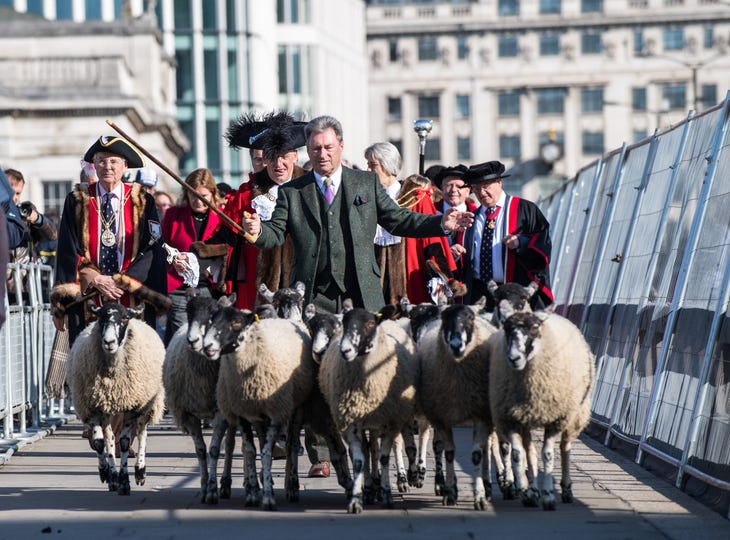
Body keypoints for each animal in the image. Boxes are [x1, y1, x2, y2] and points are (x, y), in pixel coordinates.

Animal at [66, 302, 165, 496]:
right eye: (100, 318)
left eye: (125, 318)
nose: (109, 342)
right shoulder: (93, 406)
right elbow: (99, 442)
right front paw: (107, 473)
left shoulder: (131, 407)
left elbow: (126, 443)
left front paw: (125, 481)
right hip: (107, 411)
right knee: (110, 437)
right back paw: (113, 477)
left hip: (146, 405)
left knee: (142, 433)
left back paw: (140, 472)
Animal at [162, 294, 236, 504]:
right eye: (188, 312)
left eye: (213, 314)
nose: (192, 340)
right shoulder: (188, 414)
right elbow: (201, 451)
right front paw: (203, 488)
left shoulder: (221, 413)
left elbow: (214, 450)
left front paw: (212, 490)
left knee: (230, 446)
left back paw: (226, 484)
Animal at [318, 304, 416, 516]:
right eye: (344, 323)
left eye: (370, 323)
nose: (345, 350)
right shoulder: (351, 421)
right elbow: (359, 460)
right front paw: (357, 499)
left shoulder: (391, 420)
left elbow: (385, 457)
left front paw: (387, 494)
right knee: (369, 449)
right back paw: (371, 487)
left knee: (391, 446)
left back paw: (399, 480)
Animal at [416, 302, 512, 508]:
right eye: (445, 318)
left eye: (470, 318)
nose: (456, 345)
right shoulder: (441, 417)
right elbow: (449, 453)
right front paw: (450, 492)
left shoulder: (481, 416)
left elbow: (477, 455)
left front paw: (480, 496)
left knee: (492, 447)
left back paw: (498, 485)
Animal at [486, 308, 596, 510]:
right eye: (506, 329)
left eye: (534, 328)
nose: (513, 358)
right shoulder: (511, 417)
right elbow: (517, 454)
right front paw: (525, 489)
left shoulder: (555, 419)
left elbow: (548, 454)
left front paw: (549, 496)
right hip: (526, 419)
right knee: (530, 451)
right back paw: (532, 491)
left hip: (573, 414)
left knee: (565, 447)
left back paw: (566, 489)